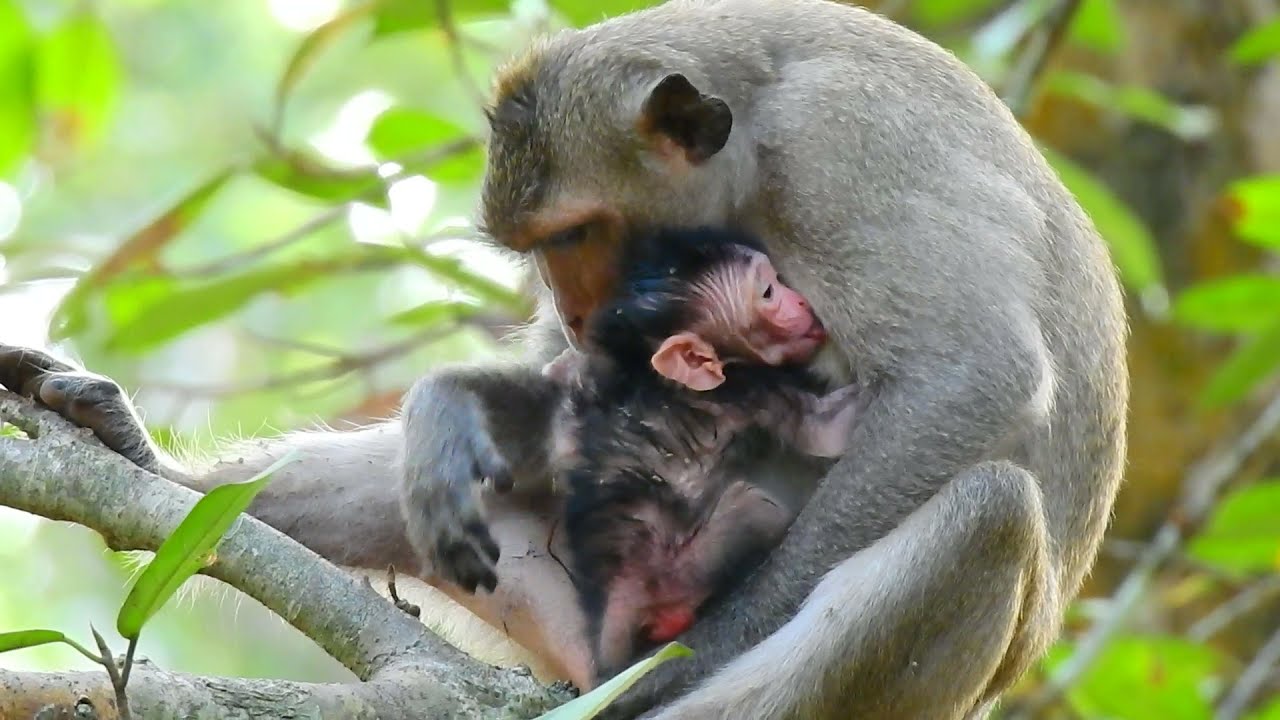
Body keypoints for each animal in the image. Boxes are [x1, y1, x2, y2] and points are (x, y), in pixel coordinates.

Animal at [543, 226, 860, 681]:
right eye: (767, 292)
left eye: (776, 280)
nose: (801, 301)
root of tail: (622, 587)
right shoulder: (751, 387)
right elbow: (826, 431)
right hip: (689, 565)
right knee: (753, 507)